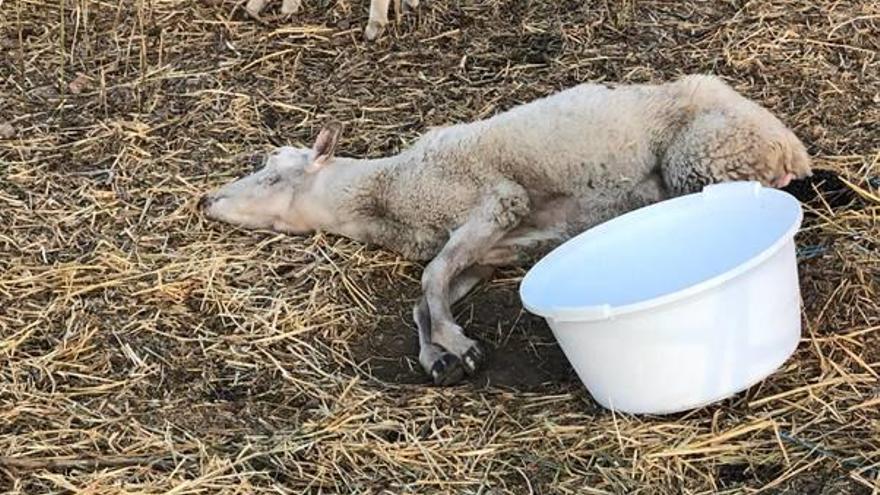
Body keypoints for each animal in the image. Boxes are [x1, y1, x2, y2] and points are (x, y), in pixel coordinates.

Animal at [198, 73, 812, 386]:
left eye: (273, 174)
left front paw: (460, 348)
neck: (388, 193)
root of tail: (789, 144)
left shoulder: (495, 202)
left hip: (705, 158)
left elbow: (428, 279)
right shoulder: (490, 249)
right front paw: (439, 355)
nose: (207, 200)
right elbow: (426, 294)